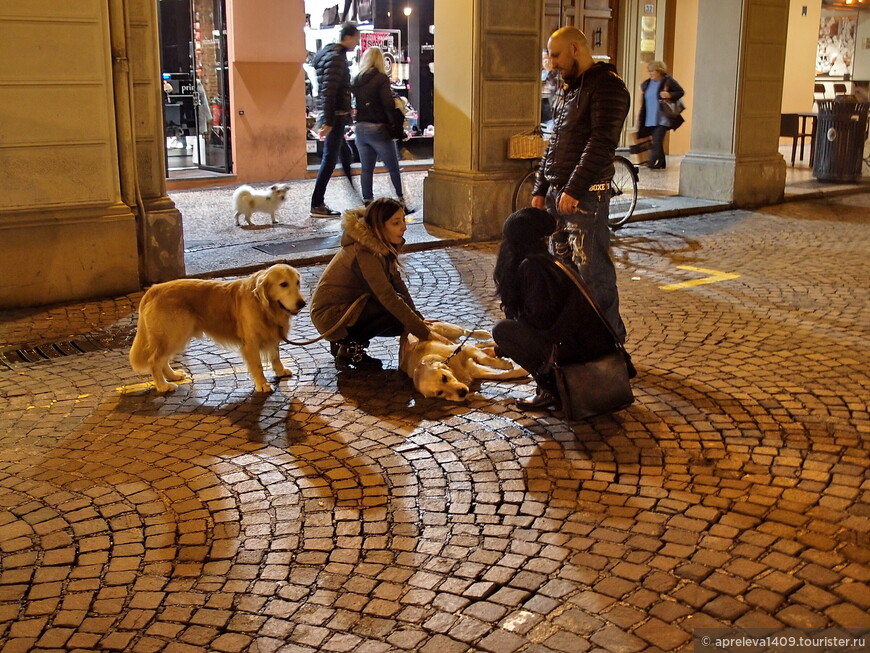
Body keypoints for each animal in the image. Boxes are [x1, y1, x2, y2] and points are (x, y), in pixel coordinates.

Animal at [398, 320, 528, 400]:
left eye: (444, 378)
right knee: (481, 345)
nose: (462, 393)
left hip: (450, 330)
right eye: (439, 393)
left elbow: (485, 359)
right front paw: (520, 371)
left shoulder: (466, 349)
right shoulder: (475, 370)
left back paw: (483, 334)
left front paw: (505, 364)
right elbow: (500, 375)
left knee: (466, 332)